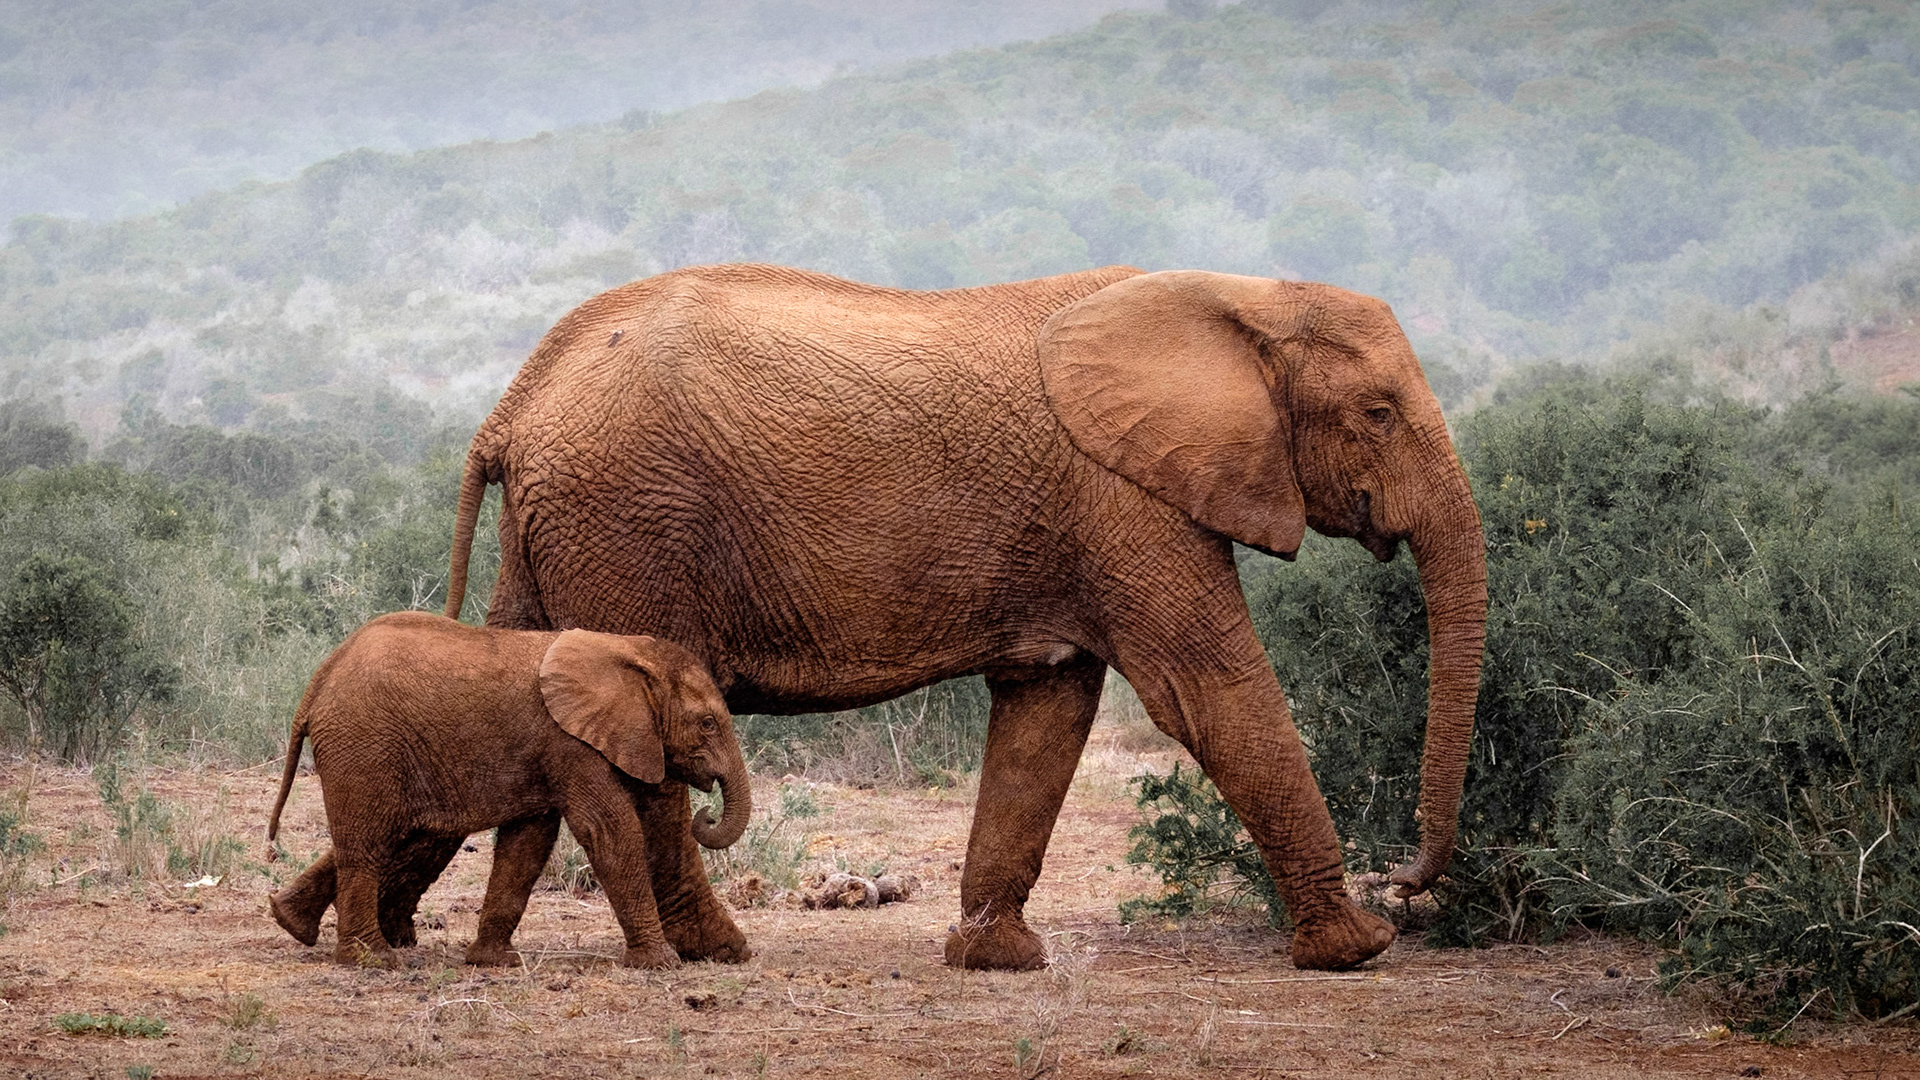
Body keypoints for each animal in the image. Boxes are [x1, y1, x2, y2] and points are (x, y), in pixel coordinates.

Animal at [264, 611, 752, 968]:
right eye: (708, 724)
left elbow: (529, 842)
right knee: (369, 844)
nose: (706, 813)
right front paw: (660, 962)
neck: (625, 649)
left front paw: (494, 961)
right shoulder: (569, 742)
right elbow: (608, 829)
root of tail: (318, 683)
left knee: (393, 833)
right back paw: (373, 959)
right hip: (364, 743)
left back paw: (291, 922)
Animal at [441, 263, 1488, 972]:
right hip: (628, 522)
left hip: (558, 536)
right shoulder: (1125, 498)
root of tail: (513, 404)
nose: (1408, 879)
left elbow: (1047, 710)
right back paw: (718, 950)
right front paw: (1358, 948)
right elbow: (1209, 689)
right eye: (1380, 413)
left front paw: (997, 959)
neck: (1241, 294)